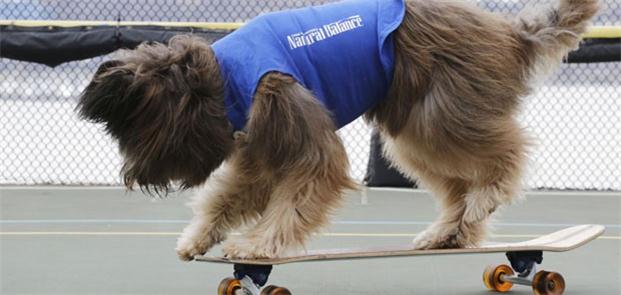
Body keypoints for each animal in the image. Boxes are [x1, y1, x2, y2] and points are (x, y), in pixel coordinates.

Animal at [76, 0, 596, 262]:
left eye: (140, 133)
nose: (135, 177)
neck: (225, 79)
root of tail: (509, 33)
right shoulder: (259, 144)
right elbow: (236, 192)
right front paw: (200, 237)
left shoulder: (285, 108)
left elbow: (301, 188)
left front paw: (258, 246)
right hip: (415, 128)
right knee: (456, 185)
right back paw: (451, 232)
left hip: (443, 110)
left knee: (507, 150)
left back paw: (490, 192)